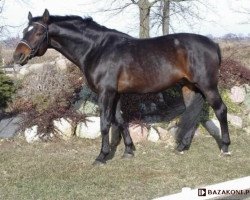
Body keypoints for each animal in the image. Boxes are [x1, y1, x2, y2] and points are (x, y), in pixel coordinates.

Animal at [13, 9, 231, 164]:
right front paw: (128, 150)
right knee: (194, 115)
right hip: (190, 87)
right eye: (24, 31)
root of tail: (213, 44)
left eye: (39, 32)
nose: (18, 56)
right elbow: (120, 120)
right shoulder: (116, 94)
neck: (97, 49)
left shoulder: (105, 93)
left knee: (221, 110)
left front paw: (102, 156)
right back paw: (182, 147)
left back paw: (225, 148)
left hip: (208, 86)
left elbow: (105, 124)